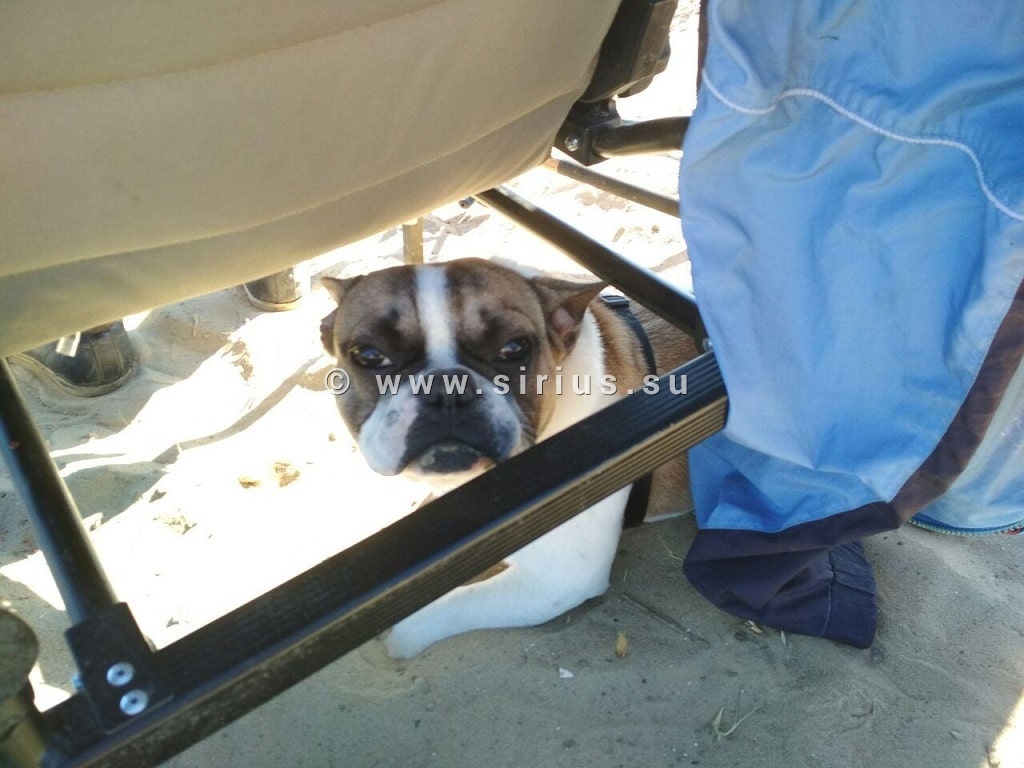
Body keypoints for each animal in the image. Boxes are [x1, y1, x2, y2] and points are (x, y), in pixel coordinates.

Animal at [319, 258, 697, 658]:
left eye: (515, 348)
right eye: (369, 355)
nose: (446, 388)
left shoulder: (561, 580)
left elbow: (451, 606)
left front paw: (396, 633)